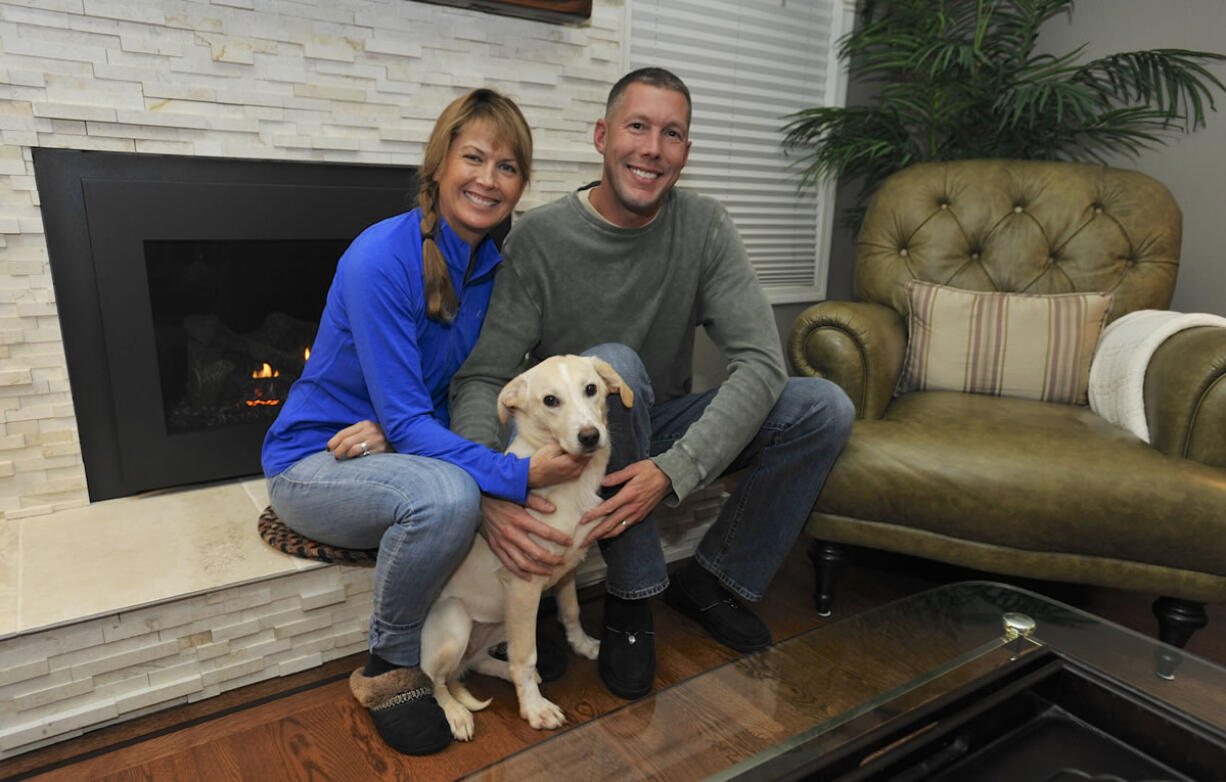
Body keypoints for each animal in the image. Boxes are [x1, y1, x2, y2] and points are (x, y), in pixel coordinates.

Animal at [419, 355, 632, 740]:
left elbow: (571, 612)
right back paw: (457, 714)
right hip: (459, 622)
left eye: (591, 389)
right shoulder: (524, 585)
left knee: (480, 663)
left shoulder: (566, 570)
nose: (590, 437)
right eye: (550, 400)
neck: (574, 485)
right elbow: (525, 656)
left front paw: (582, 645)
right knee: (436, 682)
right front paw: (534, 709)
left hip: (499, 623)